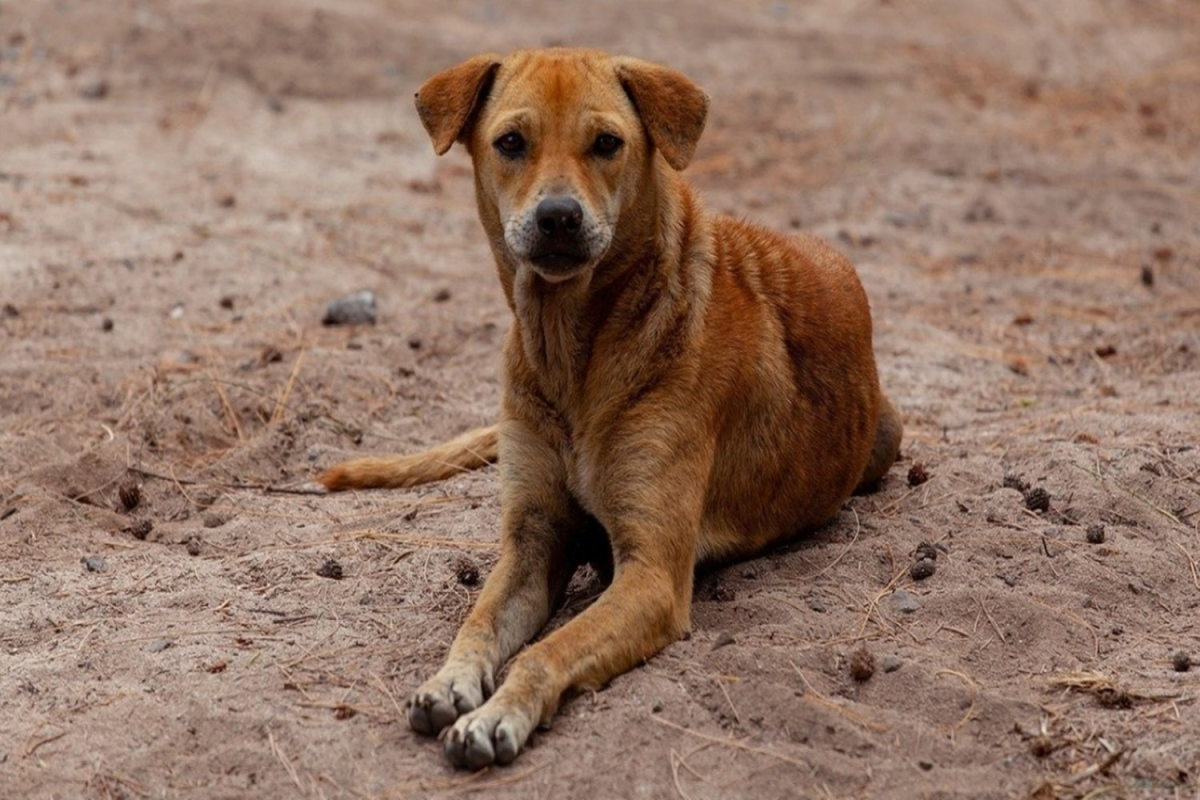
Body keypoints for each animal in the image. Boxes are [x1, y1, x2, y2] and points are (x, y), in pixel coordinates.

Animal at [319, 48, 902, 767]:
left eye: (606, 143)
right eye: (510, 142)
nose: (558, 217)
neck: (572, 350)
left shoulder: (651, 576)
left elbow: (546, 651)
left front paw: (497, 714)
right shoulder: (532, 540)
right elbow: (478, 621)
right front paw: (450, 680)